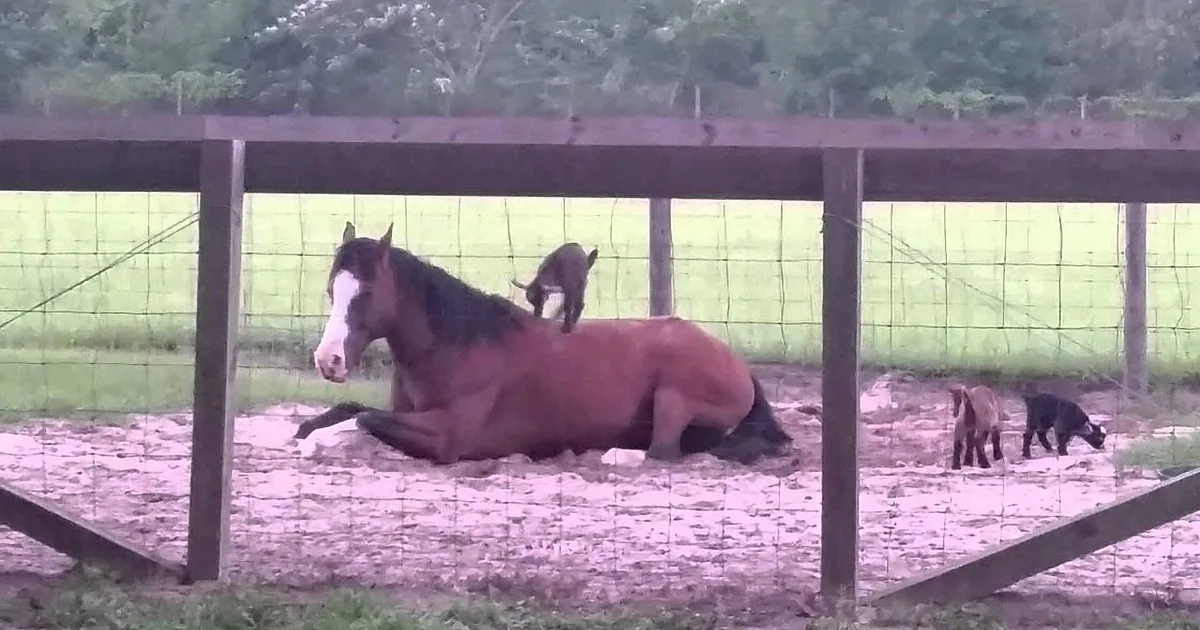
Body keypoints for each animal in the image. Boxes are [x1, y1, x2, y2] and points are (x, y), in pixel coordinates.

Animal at [294, 222, 793, 465]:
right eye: (331, 290)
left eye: (365, 293)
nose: (328, 360)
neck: (460, 345)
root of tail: (737, 363)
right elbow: (348, 410)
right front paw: (308, 431)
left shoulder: (448, 436)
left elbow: (362, 418)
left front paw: (317, 442)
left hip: (674, 396)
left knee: (664, 452)